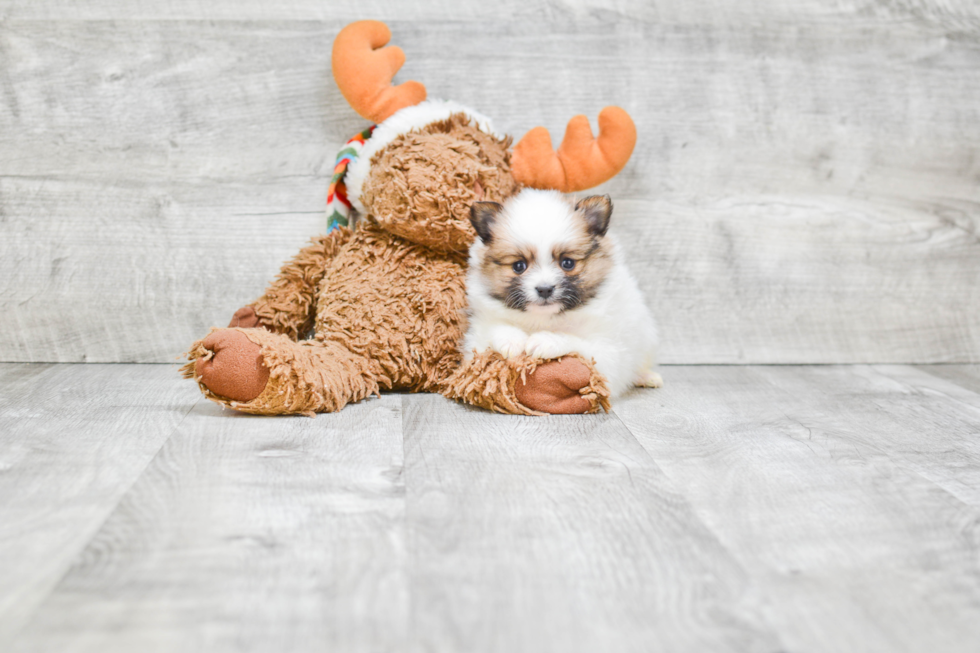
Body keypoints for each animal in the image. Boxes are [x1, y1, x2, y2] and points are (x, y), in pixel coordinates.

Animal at [464, 188, 664, 398]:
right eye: (519, 266)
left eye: (567, 263)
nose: (544, 289)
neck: (544, 318)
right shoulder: (476, 340)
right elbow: (494, 327)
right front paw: (512, 341)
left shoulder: (608, 352)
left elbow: (576, 342)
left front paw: (546, 340)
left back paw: (647, 377)